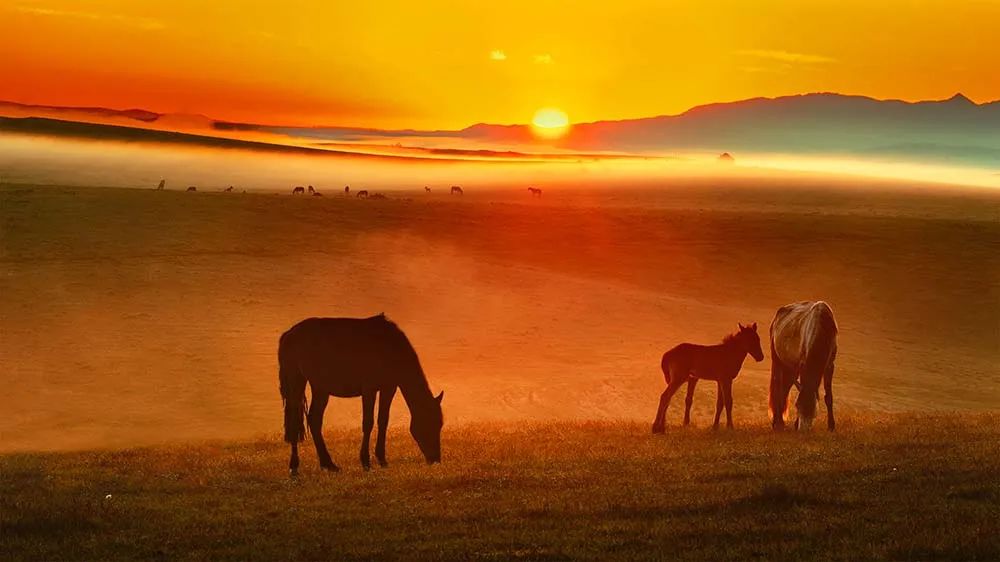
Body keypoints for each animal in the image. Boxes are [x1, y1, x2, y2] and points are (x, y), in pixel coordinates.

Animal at [276, 316, 444, 472]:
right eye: (429, 423)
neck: (390, 347)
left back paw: (328, 464)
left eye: (440, 424)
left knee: (314, 420)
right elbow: (368, 422)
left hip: (320, 388)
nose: (436, 459)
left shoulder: (388, 388)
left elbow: (383, 421)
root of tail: (288, 334)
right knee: (294, 420)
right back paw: (294, 465)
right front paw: (365, 461)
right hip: (296, 381)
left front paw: (382, 459)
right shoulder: (369, 388)